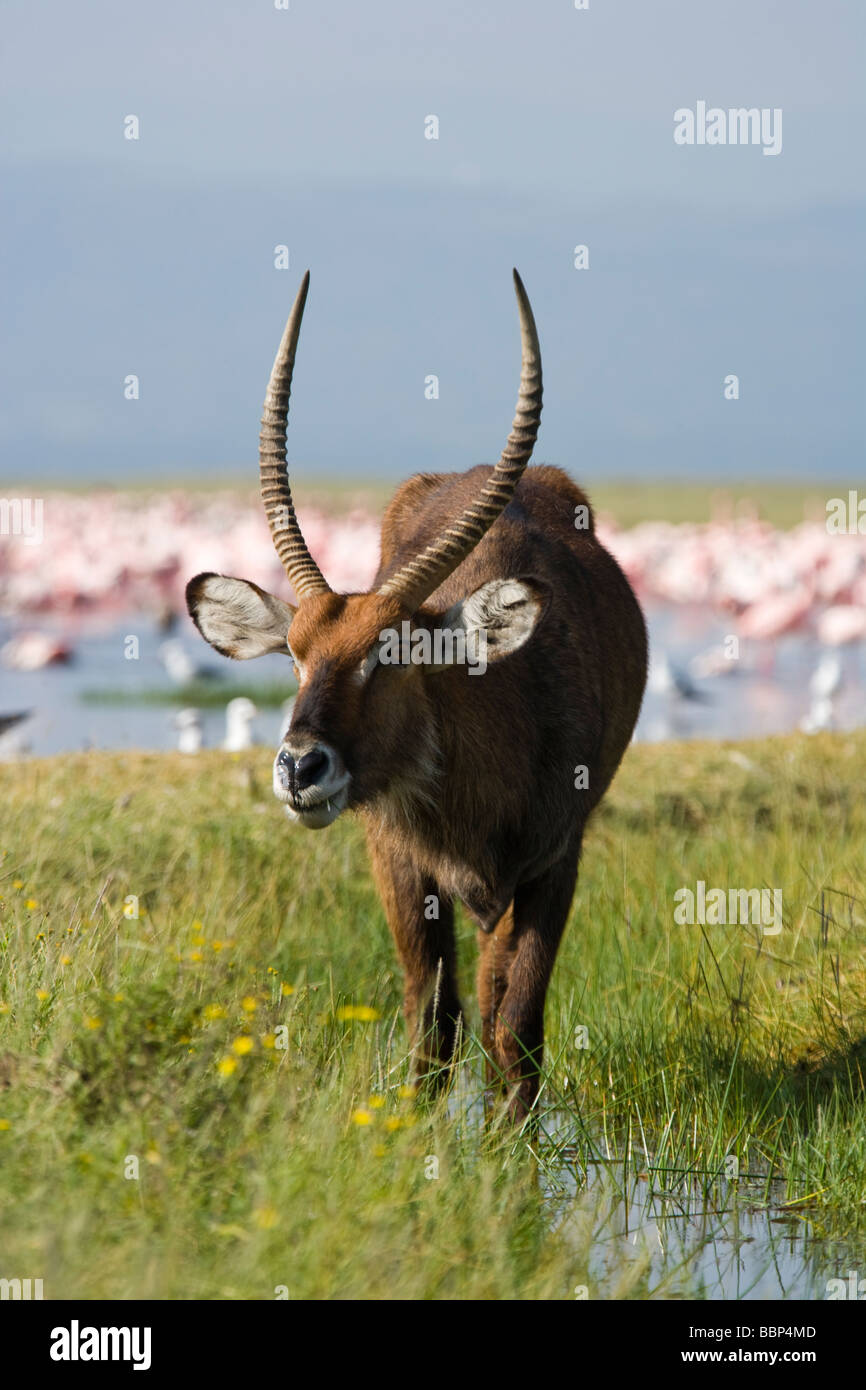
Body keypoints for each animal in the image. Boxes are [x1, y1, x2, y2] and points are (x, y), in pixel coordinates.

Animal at [186, 268, 647, 1117]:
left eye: (391, 655)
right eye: (295, 654)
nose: (301, 768)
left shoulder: (552, 865)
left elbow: (515, 1030)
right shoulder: (399, 864)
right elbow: (432, 1026)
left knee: (501, 1017)